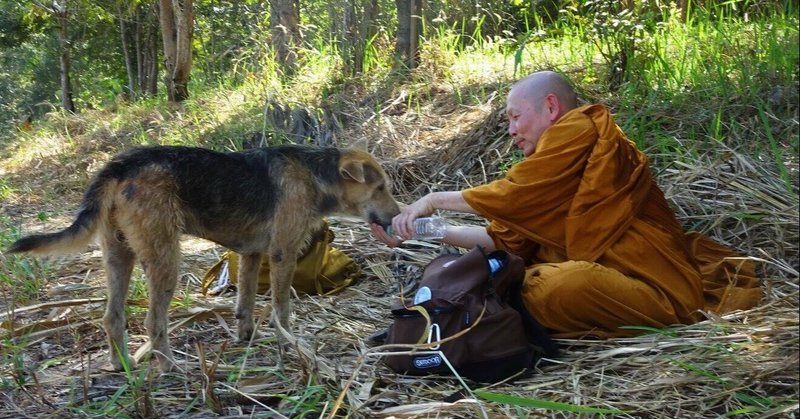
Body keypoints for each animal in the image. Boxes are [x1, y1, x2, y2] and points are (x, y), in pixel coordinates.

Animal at [6, 143, 400, 372]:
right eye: (380, 187)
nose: (398, 216)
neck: (316, 175)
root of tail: (120, 164)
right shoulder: (282, 254)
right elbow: (281, 309)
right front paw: (290, 343)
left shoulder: (252, 254)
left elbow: (245, 304)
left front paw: (247, 338)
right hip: (165, 260)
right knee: (153, 321)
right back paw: (168, 366)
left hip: (119, 256)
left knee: (112, 317)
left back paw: (122, 365)